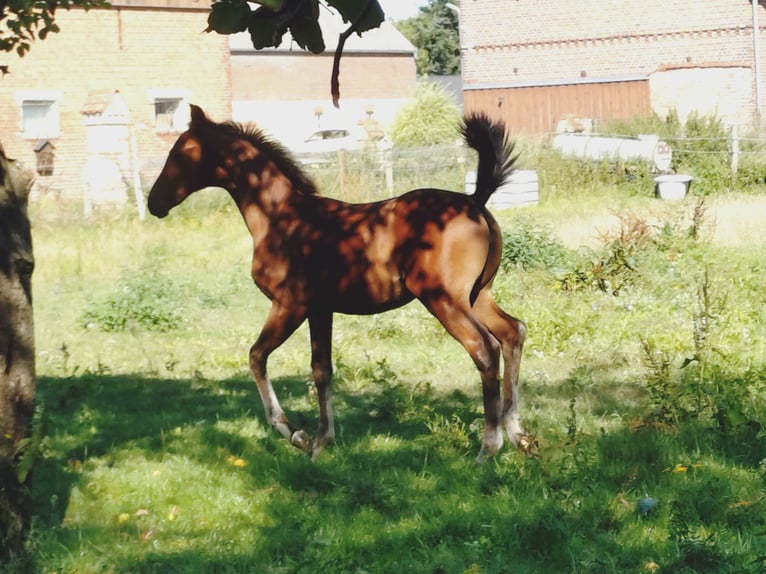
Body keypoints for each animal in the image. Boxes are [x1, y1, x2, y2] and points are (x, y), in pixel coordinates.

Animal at [148, 105, 532, 461]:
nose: (154, 203)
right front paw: (322, 442)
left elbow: (257, 356)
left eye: (180, 153)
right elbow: (322, 370)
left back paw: (488, 447)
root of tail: (474, 201)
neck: (280, 217)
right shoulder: (321, 309)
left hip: (444, 299)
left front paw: (296, 434)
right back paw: (518, 434)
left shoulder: (290, 305)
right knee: (513, 332)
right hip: (478, 295)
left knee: (484, 348)